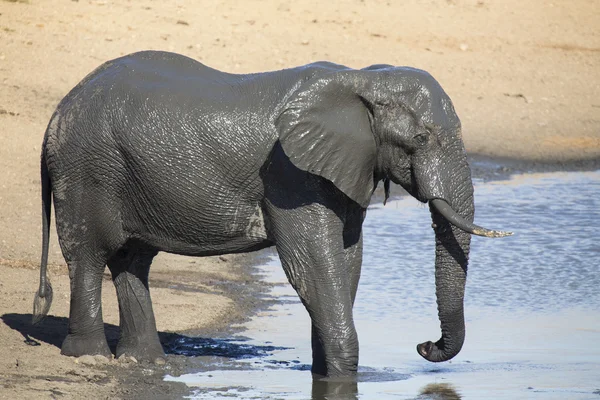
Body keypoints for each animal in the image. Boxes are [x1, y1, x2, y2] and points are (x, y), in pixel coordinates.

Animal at [31, 50, 510, 378]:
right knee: (89, 256)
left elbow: (347, 262)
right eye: (420, 138)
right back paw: (88, 356)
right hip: (87, 169)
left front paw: (325, 373)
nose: (424, 345)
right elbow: (312, 263)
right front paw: (342, 374)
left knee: (132, 260)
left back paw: (145, 361)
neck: (361, 79)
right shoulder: (290, 174)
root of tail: (56, 113)